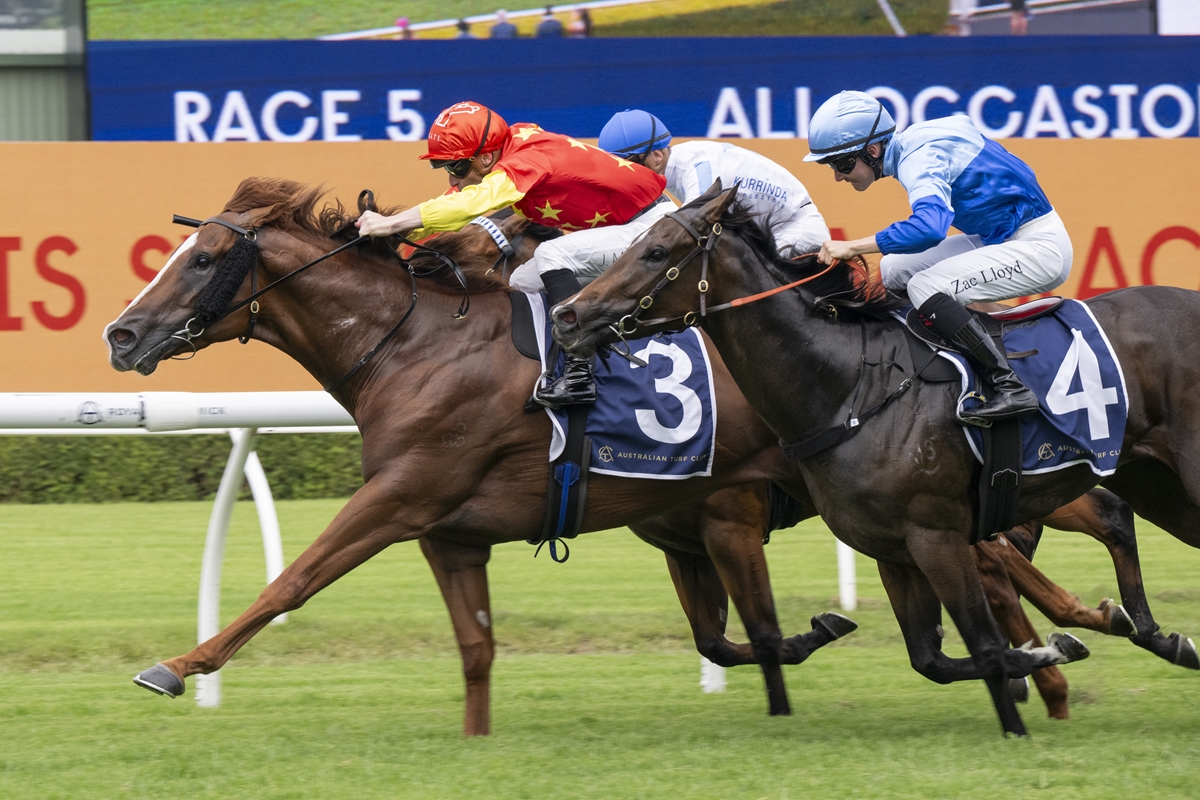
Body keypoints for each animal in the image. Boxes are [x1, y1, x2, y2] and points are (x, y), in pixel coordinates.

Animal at [552, 182, 1200, 736]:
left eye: (656, 250)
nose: (567, 316)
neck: (849, 389)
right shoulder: (890, 546)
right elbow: (931, 658)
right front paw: (1047, 652)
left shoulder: (931, 534)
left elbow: (984, 645)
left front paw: (1023, 703)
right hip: (1152, 482)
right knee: (1114, 518)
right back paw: (1149, 632)